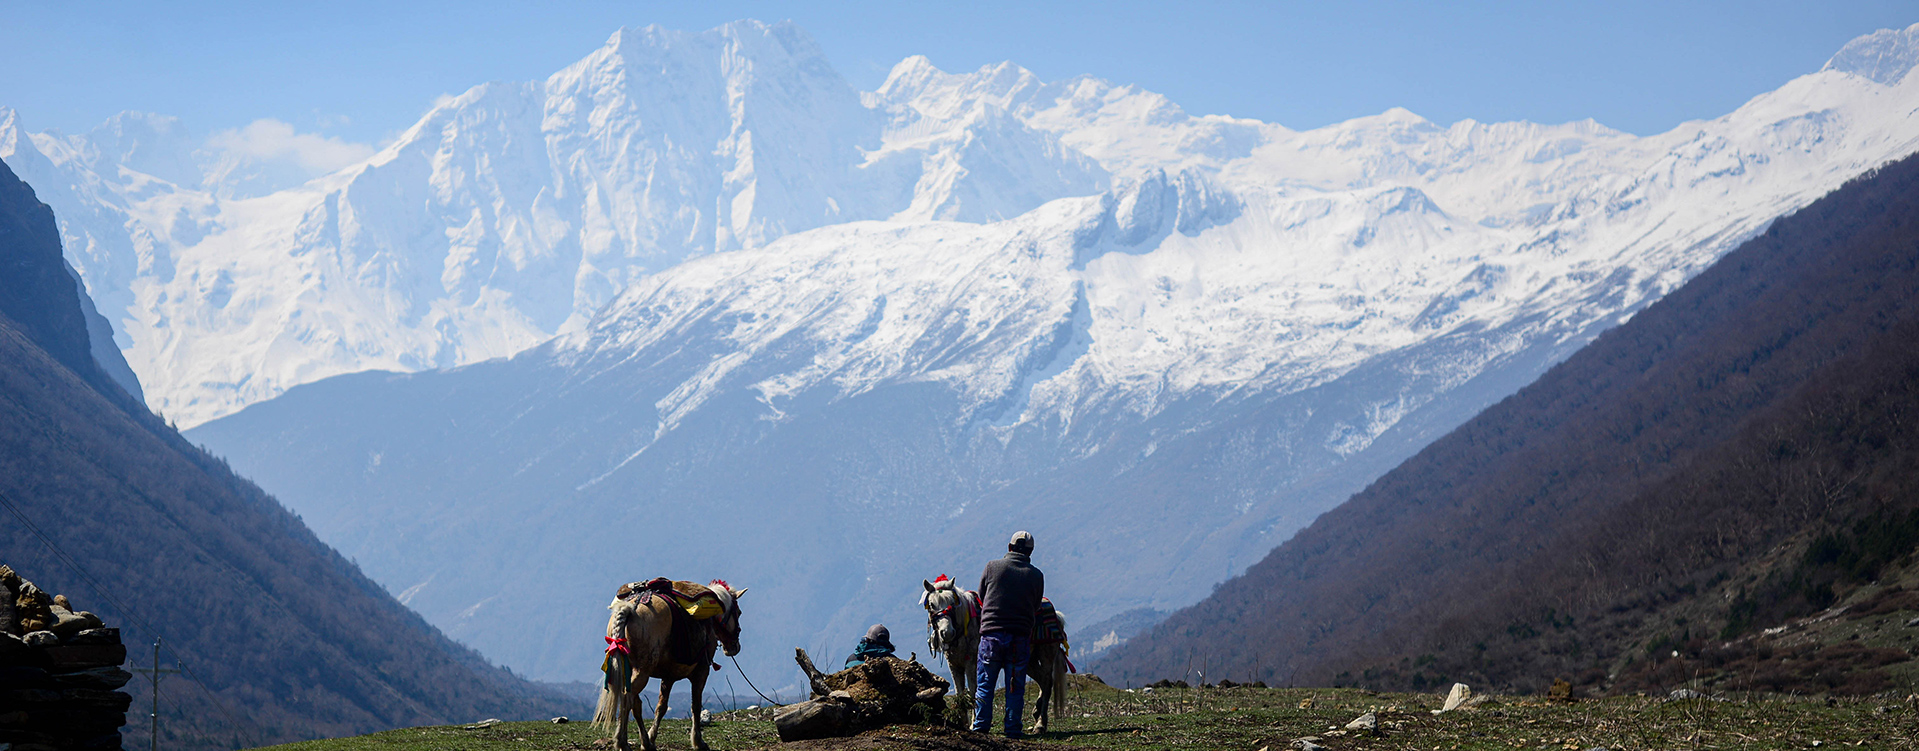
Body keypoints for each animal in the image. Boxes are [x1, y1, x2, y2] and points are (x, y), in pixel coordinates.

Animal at [591, 583, 748, 751]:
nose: (734, 647)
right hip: (642, 671)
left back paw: (644, 742)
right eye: (738, 612)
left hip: (628, 670)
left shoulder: (669, 676)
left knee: (634, 702)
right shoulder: (701, 671)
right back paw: (622, 742)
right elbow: (695, 706)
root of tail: (630, 608)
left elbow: (661, 707)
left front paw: (651, 738)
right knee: (628, 697)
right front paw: (698, 741)